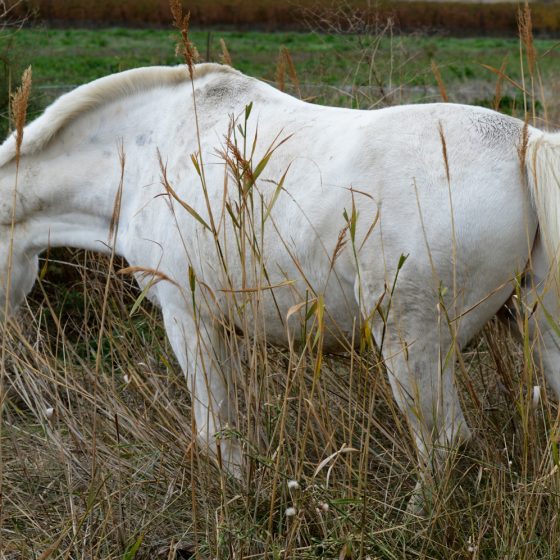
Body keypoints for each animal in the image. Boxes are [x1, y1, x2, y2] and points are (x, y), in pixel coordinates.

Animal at [1, 63, 560, 506]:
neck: (148, 150)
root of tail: (526, 143)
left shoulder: (188, 319)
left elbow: (215, 432)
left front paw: (237, 501)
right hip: (537, 328)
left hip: (411, 345)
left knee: (443, 441)